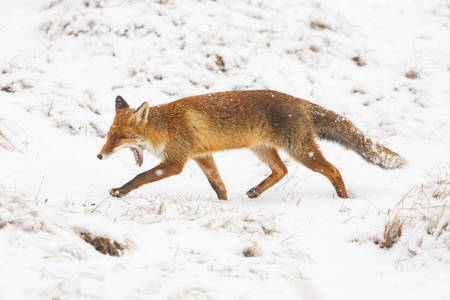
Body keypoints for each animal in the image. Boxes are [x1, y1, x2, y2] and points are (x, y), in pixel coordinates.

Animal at [97, 90, 404, 200]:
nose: (99, 156)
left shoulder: (176, 162)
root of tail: (299, 101)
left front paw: (119, 192)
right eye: (108, 135)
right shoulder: (203, 156)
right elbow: (218, 186)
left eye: (117, 138)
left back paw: (344, 199)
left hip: (301, 151)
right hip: (262, 150)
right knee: (282, 171)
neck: (165, 128)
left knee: (334, 170)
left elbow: (140, 176)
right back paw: (256, 192)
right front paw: (223, 204)